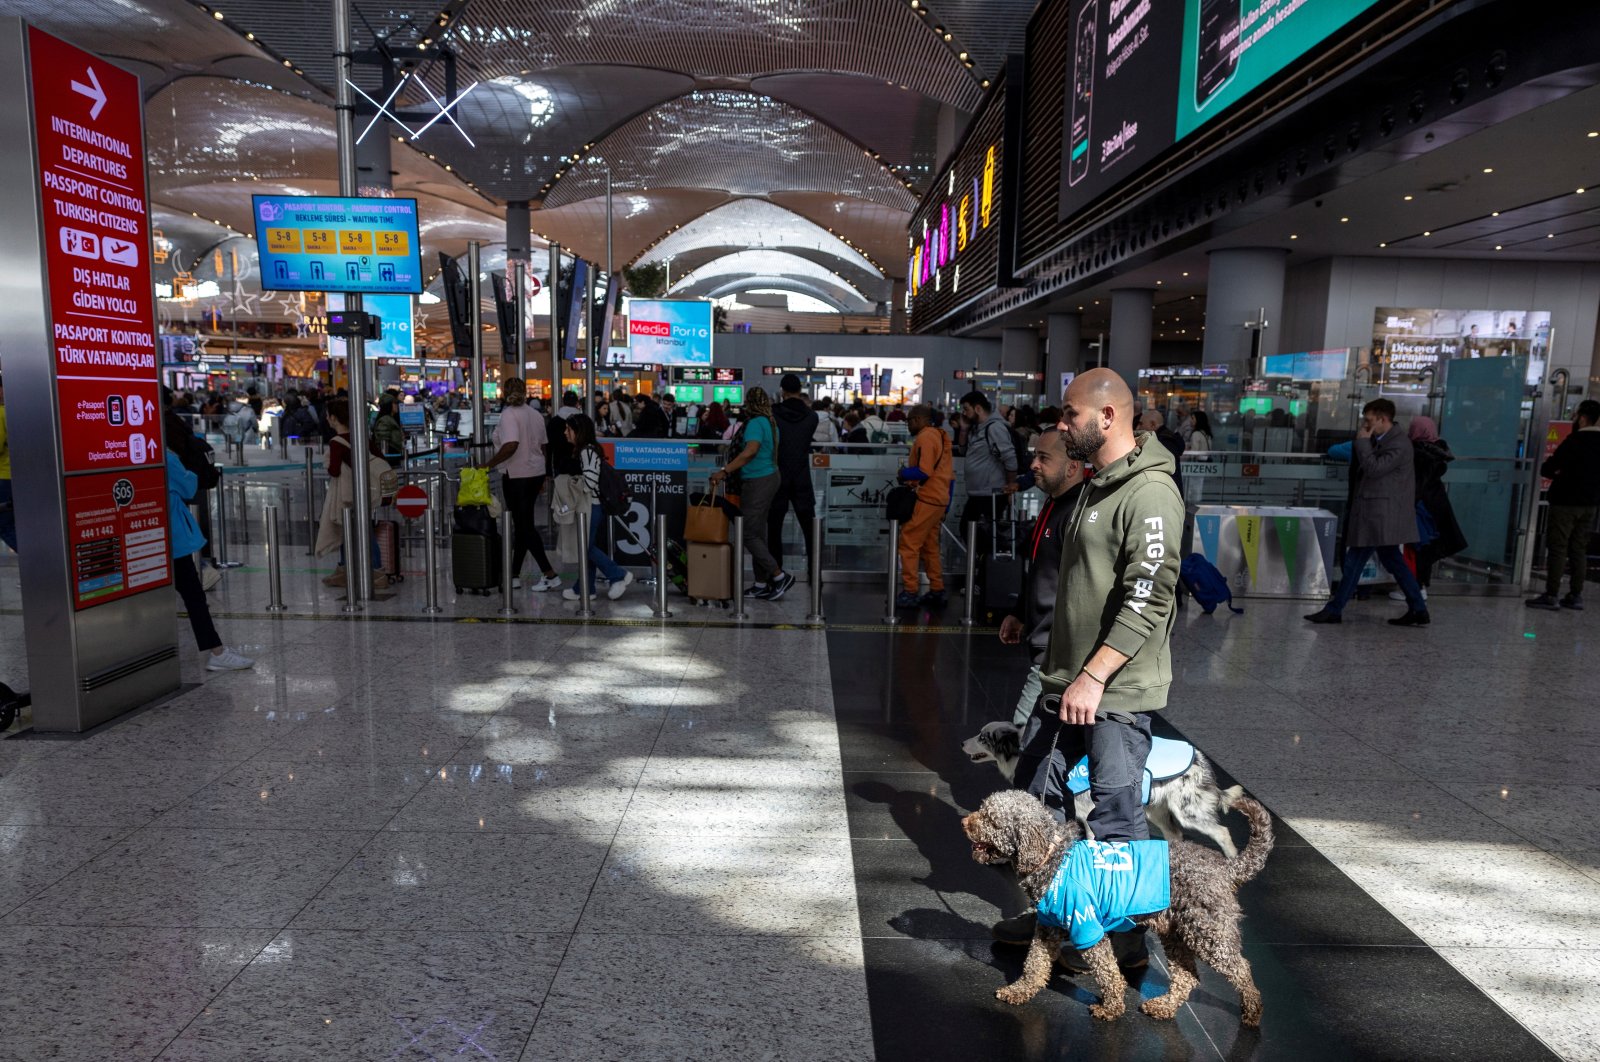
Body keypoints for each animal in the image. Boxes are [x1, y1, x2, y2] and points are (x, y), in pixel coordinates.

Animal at [953, 722, 1241, 863]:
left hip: (1187, 810)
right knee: (1175, 835)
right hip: (1157, 810)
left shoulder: (1089, 810)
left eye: (983, 737)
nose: (961, 742)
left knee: (1222, 832)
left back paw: (1232, 860)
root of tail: (1200, 757)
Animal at [960, 793, 1273, 1023]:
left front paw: (1110, 1008)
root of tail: (1227, 868)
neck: (1053, 858)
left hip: (1209, 933)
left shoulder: (1087, 927)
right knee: (1187, 976)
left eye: (991, 819)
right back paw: (1164, 1006)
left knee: (1241, 969)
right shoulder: (1048, 928)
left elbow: (1108, 972)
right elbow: (1034, 965)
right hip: (1176, 934)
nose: (964, 822)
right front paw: (1019, 991)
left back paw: (1252, 1010)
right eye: (983, 810)